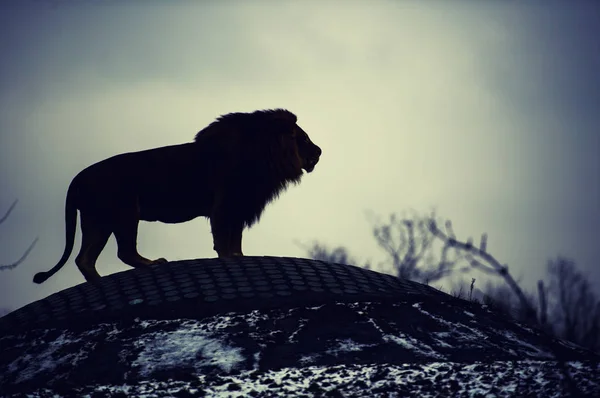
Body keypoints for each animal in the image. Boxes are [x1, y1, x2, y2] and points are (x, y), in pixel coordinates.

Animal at [31, 109, 324, 282]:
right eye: (304, 139)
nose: (320, 152)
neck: (267, 157)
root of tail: (78, 178)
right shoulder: (225, 206)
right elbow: (224, 240)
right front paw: (229, 259)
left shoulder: (240, 207)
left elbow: (236, 240)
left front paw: (240, 257)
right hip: (125, 213)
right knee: (124, 251)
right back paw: (153, 264)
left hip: (98, 221)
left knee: (84, 259)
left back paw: (100, 282)